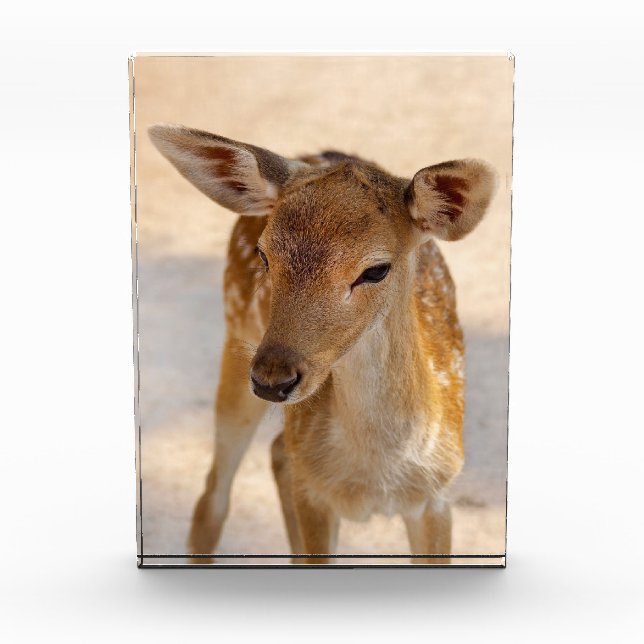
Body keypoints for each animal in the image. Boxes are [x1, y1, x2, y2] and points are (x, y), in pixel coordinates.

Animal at [149, 124, 496, 564]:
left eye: (376, 270)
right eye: (264, 255)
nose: (272, 379)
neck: (375, 477)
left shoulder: (438, 495)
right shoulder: (315, 495)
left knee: (277, 453)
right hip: (236, 337)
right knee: (213, 496)